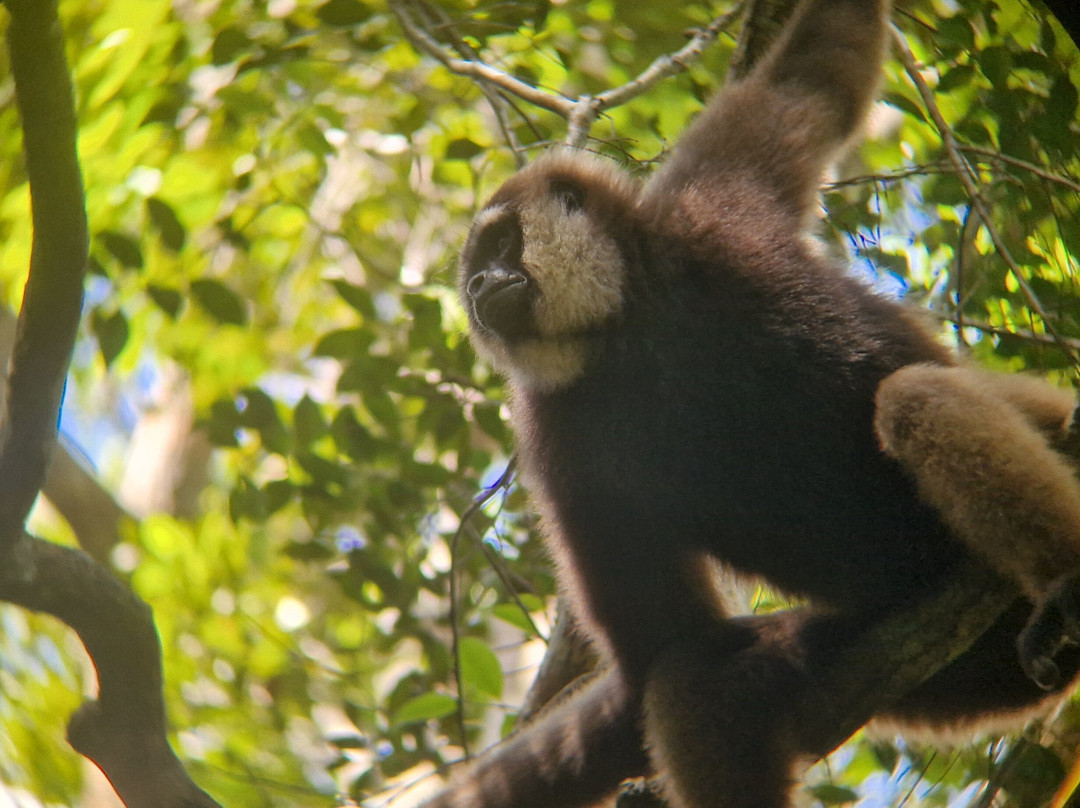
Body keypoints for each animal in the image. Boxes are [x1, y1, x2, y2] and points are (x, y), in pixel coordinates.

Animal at [426, 0, 1080, 806]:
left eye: (499, 247)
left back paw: (1063, 583)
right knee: (690, 674)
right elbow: (672, 645)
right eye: (475, 274)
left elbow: (815, 78)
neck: (632, 327)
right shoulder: (557, 433)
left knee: (916, 396)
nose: (481, 289)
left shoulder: (714, 206)